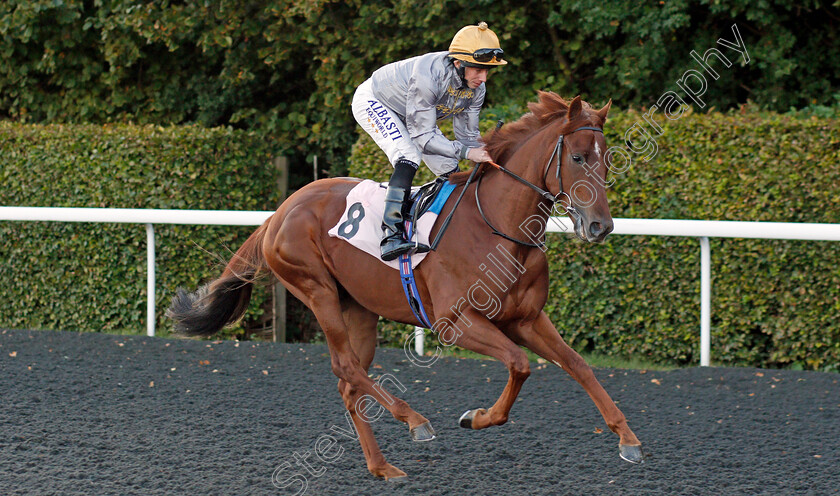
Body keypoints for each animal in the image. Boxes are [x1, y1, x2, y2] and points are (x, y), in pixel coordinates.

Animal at [167, 92, 648, 480]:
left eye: (607, 158)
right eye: (578, 158)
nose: (600, 226)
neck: (498, 226)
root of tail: (281, 210)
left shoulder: (527, 318)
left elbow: (578, 365)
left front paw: (628, 439)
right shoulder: (455, 322)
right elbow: (519, 363)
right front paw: (476, 417)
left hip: (358, 308)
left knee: (350, 382)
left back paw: (382, 467)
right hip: (316, 290)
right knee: (347, 368)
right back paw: (415, 421)